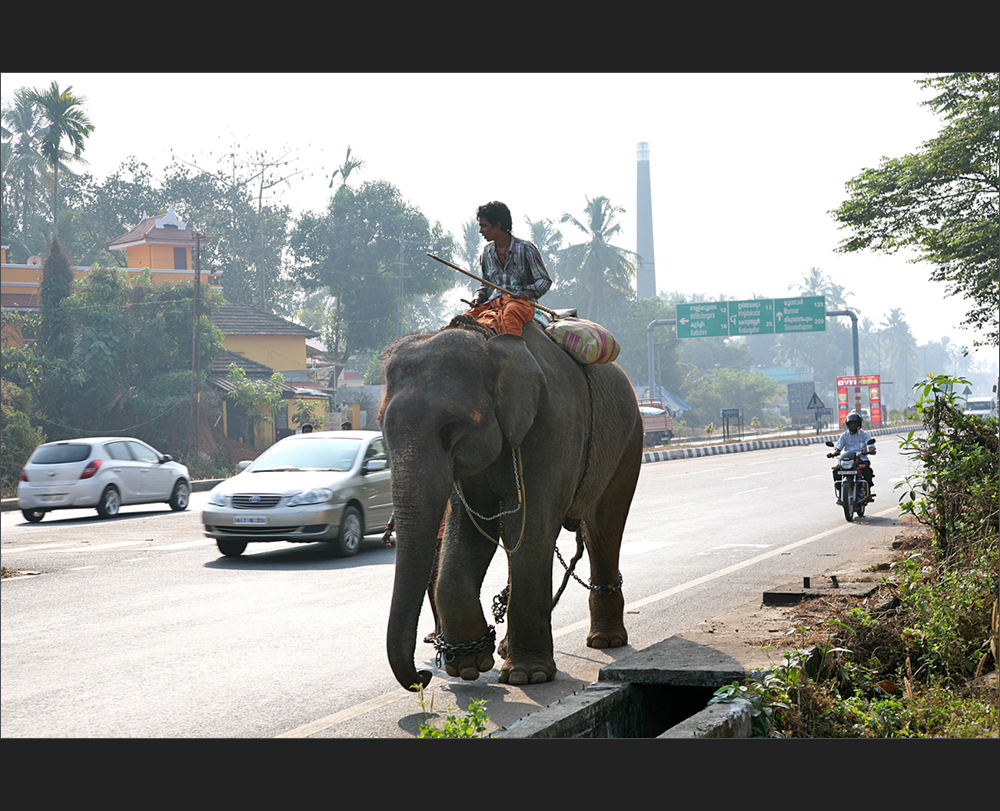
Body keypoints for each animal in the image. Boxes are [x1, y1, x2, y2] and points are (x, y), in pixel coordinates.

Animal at [378, 318, 644, 692]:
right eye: (382, 431)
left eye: (450, 428)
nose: (424, 675)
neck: (490, 342)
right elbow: (472, 531)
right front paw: (470, 666)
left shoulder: (555, 427)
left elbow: (528, 530)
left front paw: (526, 675)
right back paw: (505, 648)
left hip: (629, 440)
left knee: (603, 527)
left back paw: (605, 641)